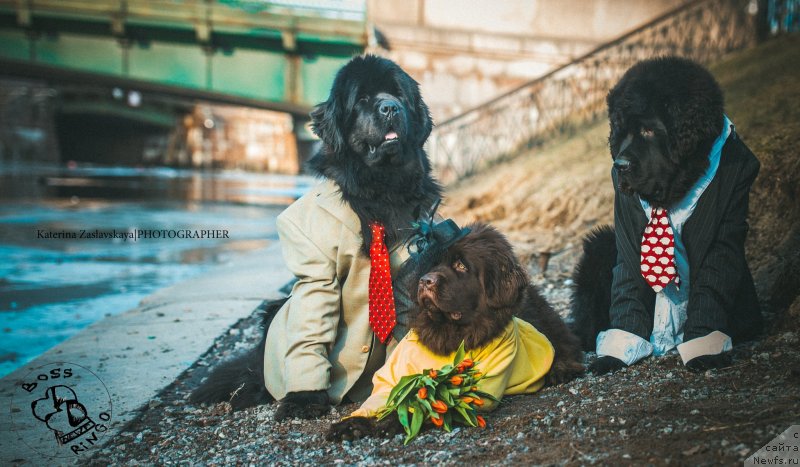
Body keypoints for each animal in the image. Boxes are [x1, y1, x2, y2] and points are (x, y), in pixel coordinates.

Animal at [193, 54, 440, 416]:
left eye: (399, 94)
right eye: (362, 99)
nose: (390, 107)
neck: (379, 191)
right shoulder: (318, 275)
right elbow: (311, 332)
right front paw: (304, 399)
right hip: (275, 312)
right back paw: (248, 392)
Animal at [324, 223, 580, 442]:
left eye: (461, 265)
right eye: (432, 266)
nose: (425, 281)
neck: (448, 333)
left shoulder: (472, 391)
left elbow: (419, 406)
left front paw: (388, 423)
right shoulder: (395, 373)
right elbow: (384, 396)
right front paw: (351, 425)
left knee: (568, 344)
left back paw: (561, 369)